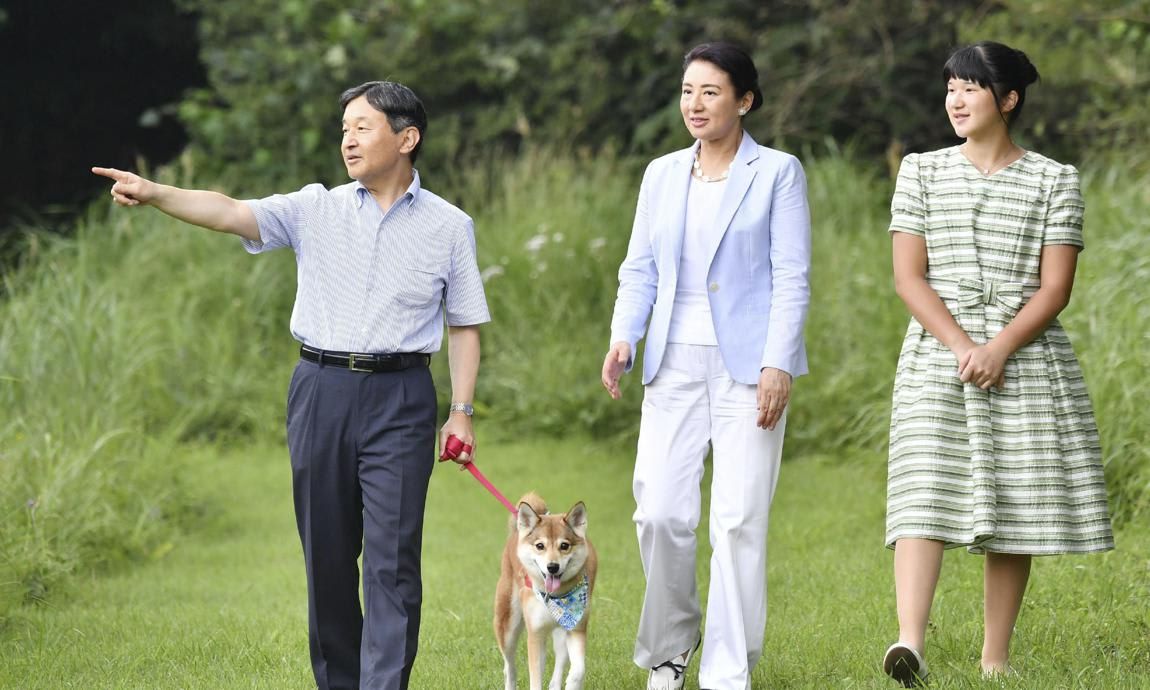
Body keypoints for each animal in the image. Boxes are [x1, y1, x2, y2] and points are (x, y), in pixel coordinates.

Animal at [494, 492, 598, 685]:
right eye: (540, 546)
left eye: (564, 546)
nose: (552, 567)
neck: (557, 597)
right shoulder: (535, 634)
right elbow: (535, 680)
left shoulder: (576, 627)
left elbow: (578, 670)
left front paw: (572, 682)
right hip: (508, 626)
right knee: (509, 667)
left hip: (560, 632)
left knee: (559, 663)